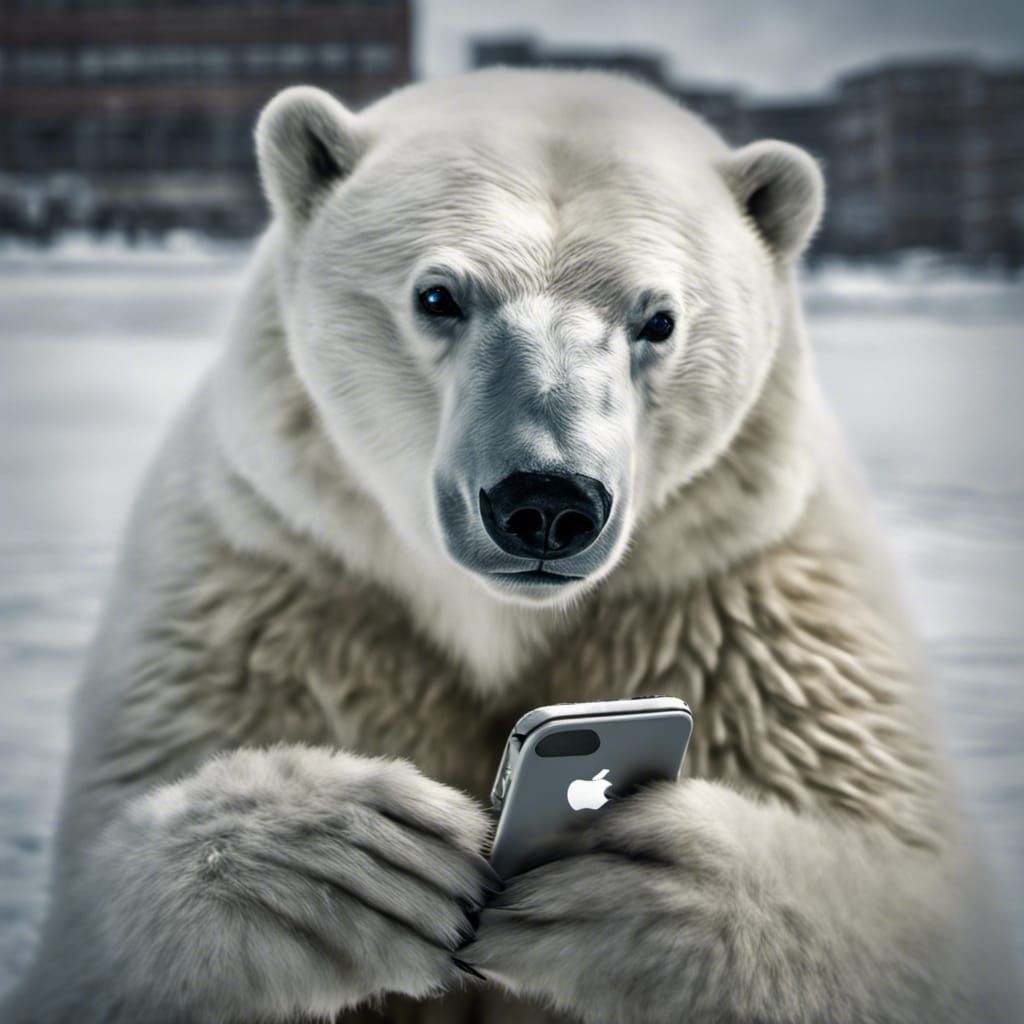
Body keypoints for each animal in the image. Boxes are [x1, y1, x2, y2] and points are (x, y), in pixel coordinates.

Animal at [2, 67, 1017, 1023]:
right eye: (438, 295)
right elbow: (84, 952)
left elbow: (916, 904)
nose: (547, 504)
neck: (500, 620)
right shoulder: (272, 584)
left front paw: (642, 886)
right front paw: (337, 866)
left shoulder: (749, 602)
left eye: (660, 319)